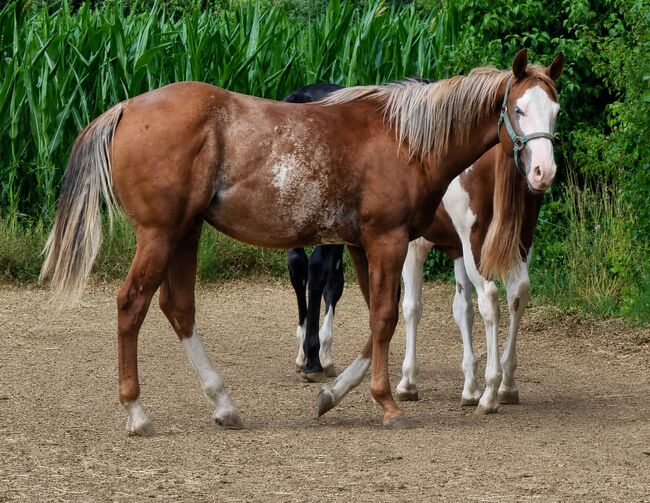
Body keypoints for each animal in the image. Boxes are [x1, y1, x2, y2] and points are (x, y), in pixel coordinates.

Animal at [395, 145, 545, 414]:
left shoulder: (415, 245)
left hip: (476, 245)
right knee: (518, 292)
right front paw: (470, 388)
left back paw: (491, 391)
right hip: (521, 240)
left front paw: (408, 382)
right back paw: (507, 385)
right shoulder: (458, 251)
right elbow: (463, 310)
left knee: (490, 298)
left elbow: (412, 308)